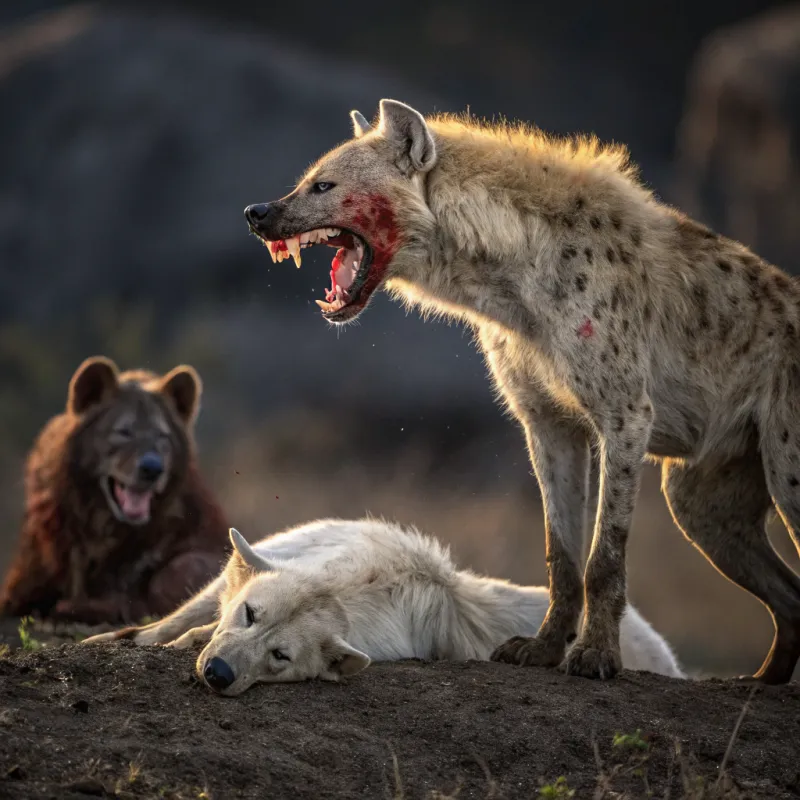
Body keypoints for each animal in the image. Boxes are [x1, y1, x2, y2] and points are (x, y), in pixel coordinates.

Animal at [82, 518, 683, 695]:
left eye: (280, 656)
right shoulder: (310, 539)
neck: (364, 580)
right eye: (251, 613)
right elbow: (198, 605)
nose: (219, 672)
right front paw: (122, 637)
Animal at [242, 99, 800, 683]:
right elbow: (562, 554)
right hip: (701, 498)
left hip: (786, 466)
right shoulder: (547, 420)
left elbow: (605, 555)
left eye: (324, 185)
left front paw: (595, 656)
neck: (515, 285)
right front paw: (541, 649)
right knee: (786, 591)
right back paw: (765, 679)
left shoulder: (626, 413)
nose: (256, 211)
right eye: (306, 180)